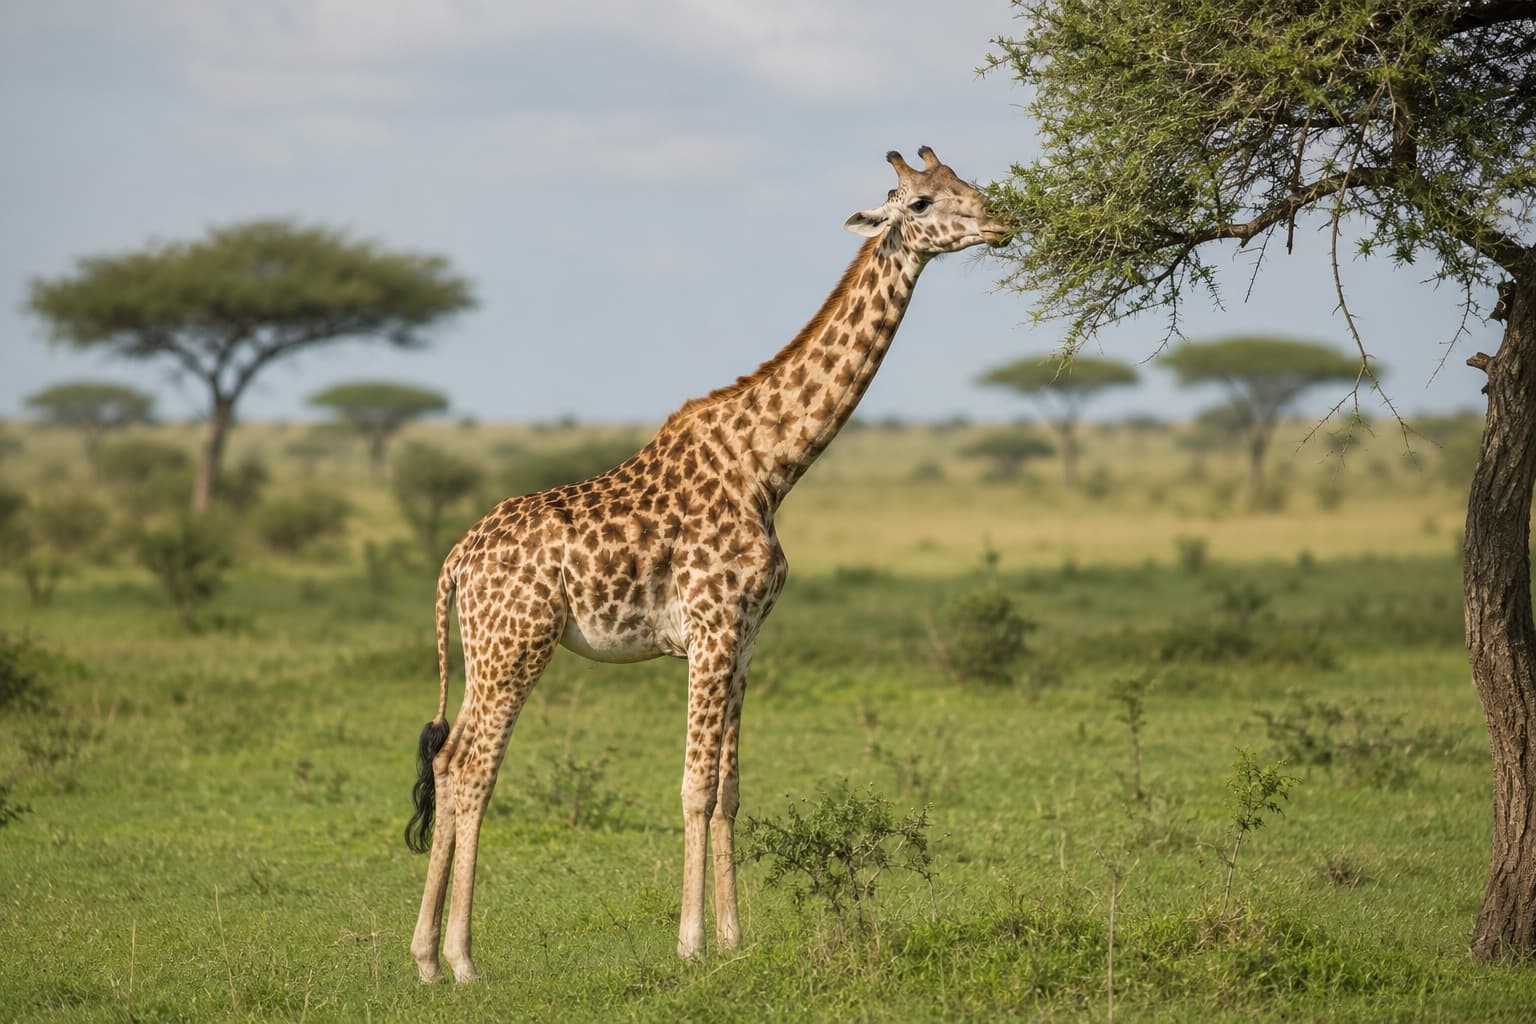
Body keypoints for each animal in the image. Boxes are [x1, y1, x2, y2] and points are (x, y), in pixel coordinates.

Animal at [405, 146, 1012, 983]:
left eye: (967, 184)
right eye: (921, 202)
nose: (1003, 222)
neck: (769, 468)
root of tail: (457, 560)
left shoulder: (746, 642)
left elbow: (728, 789)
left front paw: (732, 939)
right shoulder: (711, 630)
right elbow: (694, 786)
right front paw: (691, 944)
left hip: (483, 649)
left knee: (445, 763)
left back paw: (427, 959)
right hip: (516, 646)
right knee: (471, 768)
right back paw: (462, 960)